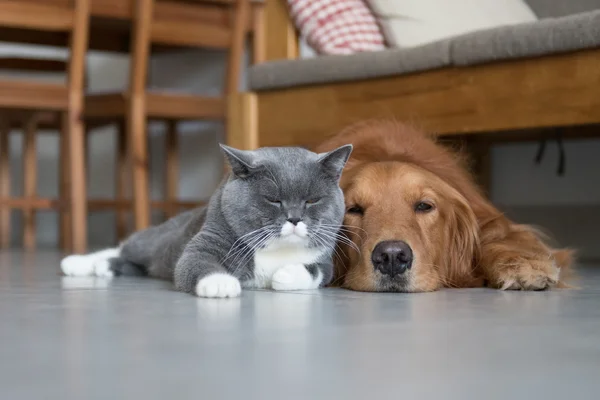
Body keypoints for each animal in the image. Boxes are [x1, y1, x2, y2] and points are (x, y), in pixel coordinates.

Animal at [61, 144, 352, 296]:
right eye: (273, 200)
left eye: (312, 200)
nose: (294, 218)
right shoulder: (208, 239)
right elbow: (195, 262)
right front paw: (220, 282)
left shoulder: (326, 260)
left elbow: (317, 272)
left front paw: (287, 274)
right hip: (158, 240)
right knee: (127, 246)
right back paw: (77, 263)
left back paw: (104, 267)